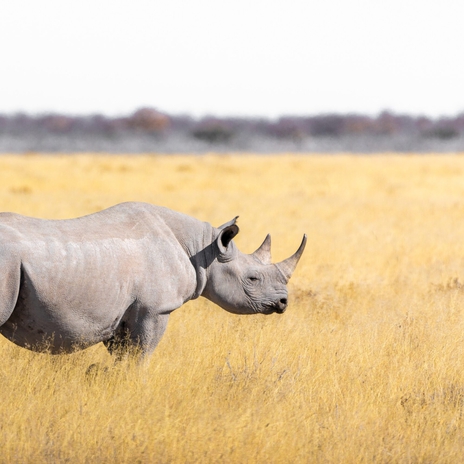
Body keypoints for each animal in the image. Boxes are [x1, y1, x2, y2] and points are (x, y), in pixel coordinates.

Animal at [0, 203, 306, 358]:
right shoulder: (154, 309)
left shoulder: (124, 313)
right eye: (253, 278)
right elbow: (141, 357)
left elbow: (122, 359)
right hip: (7, 263)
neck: (203, 249)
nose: (283, 302)